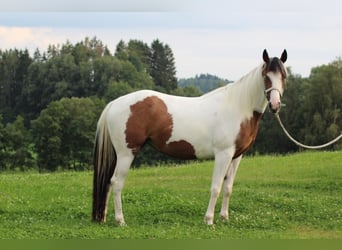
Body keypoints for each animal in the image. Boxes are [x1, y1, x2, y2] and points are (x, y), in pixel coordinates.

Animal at [92, 48, 288, 225]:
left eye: (284, 76)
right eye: (266, 75)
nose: (275, 105)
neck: (237, 107)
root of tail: (114, 103)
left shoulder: (236, 156)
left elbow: (228, 187)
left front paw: (224, 218)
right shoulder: (223, 155)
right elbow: (216, 187)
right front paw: (209, 220)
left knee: (109, 183)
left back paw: (104, 217)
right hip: (126, 153)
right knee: (117, 183)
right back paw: (120, 221)